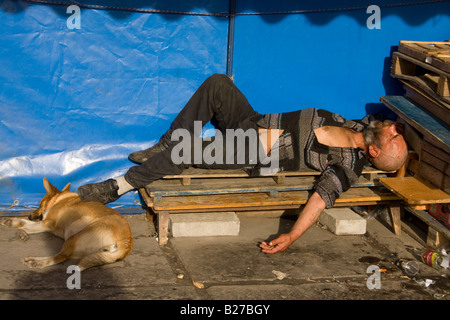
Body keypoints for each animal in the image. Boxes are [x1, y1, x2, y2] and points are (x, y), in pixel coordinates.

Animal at [0, 179, 134, 272]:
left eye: (40, 204)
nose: (29, 216)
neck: (60, 199)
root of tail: (126, 243)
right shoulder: (45, 222)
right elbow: (25, 223)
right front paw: (12, 222)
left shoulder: (47, 223)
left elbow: (27, 227)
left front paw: (21, 231)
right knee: (64, 256)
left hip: (74, 237)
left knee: (60, 257)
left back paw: (36, 261)